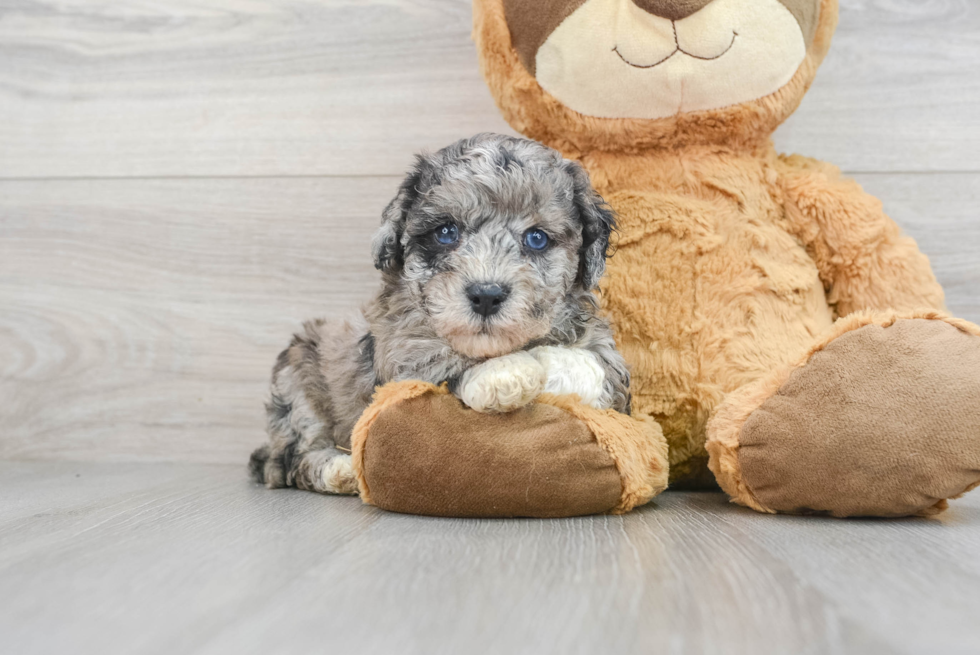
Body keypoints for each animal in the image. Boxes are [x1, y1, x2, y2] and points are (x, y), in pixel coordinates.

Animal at [249, 135, 632, 498]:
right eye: (446, 232)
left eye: (536, 238)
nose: (486, 295)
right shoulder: (403, 352)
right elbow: (445, 359)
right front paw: (505, 373)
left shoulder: (609, 364)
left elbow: (590, 364)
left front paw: (543, 363)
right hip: (296, 382)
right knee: (293, 460)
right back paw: (340, 469)